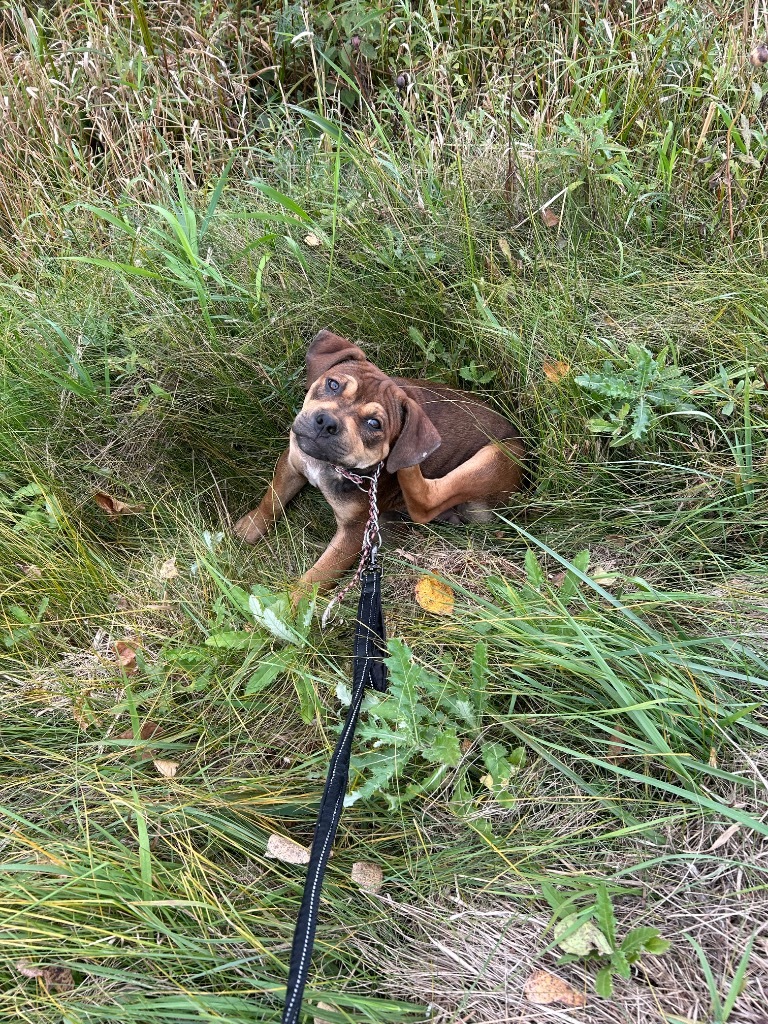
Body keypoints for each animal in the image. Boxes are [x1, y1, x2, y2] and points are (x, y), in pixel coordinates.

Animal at [233, 331, 524, 593]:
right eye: (333, 384)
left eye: (374, 424)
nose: (327, 423)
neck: (328, 465)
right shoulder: (293, 462)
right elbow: (273, 498)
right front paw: (249, 528)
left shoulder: (353, 533)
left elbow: (314, 580)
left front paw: (289, 611)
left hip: (496, 457)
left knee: (425, 503)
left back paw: (409, 461)